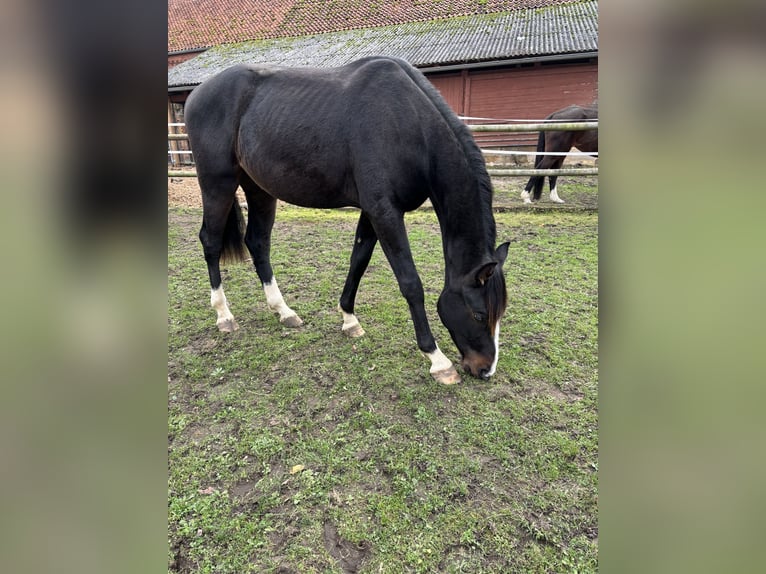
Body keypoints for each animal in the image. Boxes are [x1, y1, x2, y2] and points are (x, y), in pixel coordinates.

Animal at [184, 56, 510, 384]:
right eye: (479, 314)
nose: (485, 369)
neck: (410, 125)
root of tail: (197, 94)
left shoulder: (372, 211)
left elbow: (358, 261)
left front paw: (349, 320)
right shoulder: (385, 212)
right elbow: (410, 283)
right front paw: (437, 360)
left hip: (259, 189)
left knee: (258, 243)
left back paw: (284, 311)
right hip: (218, 184)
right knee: (211, 242)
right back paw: (224, 315)